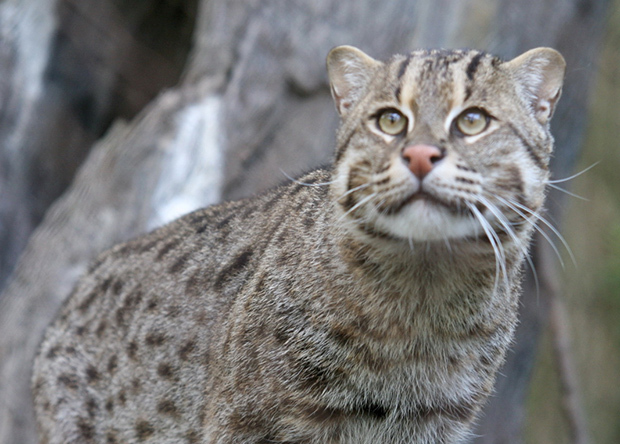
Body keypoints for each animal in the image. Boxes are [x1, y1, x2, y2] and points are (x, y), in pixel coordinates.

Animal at [34, 43, 568, 442]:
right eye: (390, 121)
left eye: (473, 121)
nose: (419, 155)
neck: (422, 292)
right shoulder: (249, 422)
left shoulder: (434, 425)